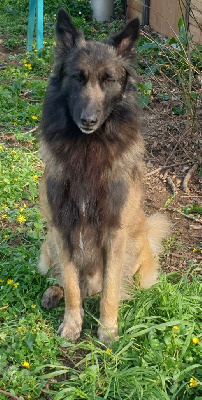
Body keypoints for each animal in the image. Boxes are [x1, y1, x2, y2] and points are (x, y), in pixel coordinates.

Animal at [38, 9, 170, 346]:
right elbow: (72, 285)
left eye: (108, 80)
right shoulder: (61, 228)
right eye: (77, 78)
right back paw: (53, 294)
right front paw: (73, 324)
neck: (88, 150)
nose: (88, 120)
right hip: (47, 246)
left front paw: (108, 331)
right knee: (63, 280)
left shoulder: (115, 232)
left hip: (135, 248)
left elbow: (110, 290)